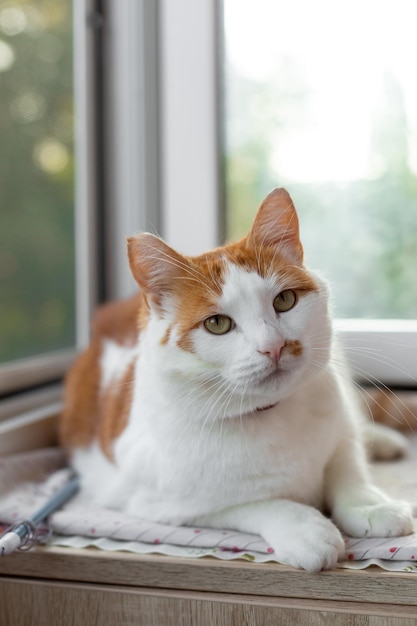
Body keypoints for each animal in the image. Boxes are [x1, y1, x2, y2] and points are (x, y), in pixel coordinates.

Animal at [60, 189, 414, 572]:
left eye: (284, 300)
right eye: (217, 324)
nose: (273, 346)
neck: (272, 417)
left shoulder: (340, 434)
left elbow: (347, 468)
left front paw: (371, 506)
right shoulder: (154, 501)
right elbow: (250, 505)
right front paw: (305, 528)